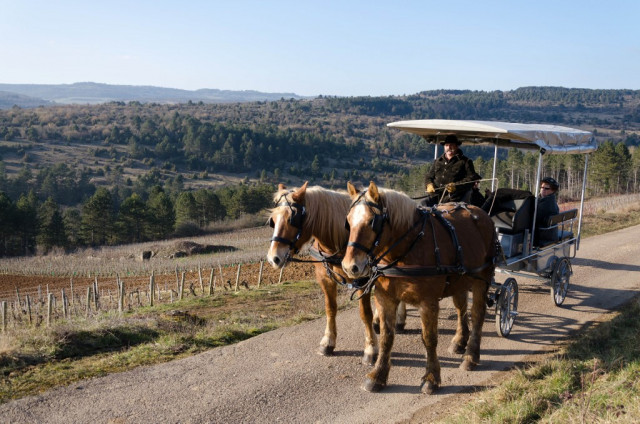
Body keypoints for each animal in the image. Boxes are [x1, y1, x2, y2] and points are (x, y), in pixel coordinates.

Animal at [264, 182, 404, 364]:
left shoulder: (362, 279)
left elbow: (365, 313)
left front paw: (371, 349)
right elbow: (330, 308)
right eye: (273, 221)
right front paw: (328, 342)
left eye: (291, 219)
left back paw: (399, 320)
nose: (273, 258)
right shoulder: (325, 278)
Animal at [342, 181, 498, 392]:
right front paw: (377, 375)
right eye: (348, 221)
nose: (350, 266)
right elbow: (386, 337)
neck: (408, 246)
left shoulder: (428, 301)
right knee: (461, 309)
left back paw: (471, 356)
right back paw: (460, 341)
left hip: (482, 277)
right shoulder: (385, 298)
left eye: (372, 221)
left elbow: (429, 338)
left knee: (477, 314)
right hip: (460, 281)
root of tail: (481, 213)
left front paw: (431, 377)